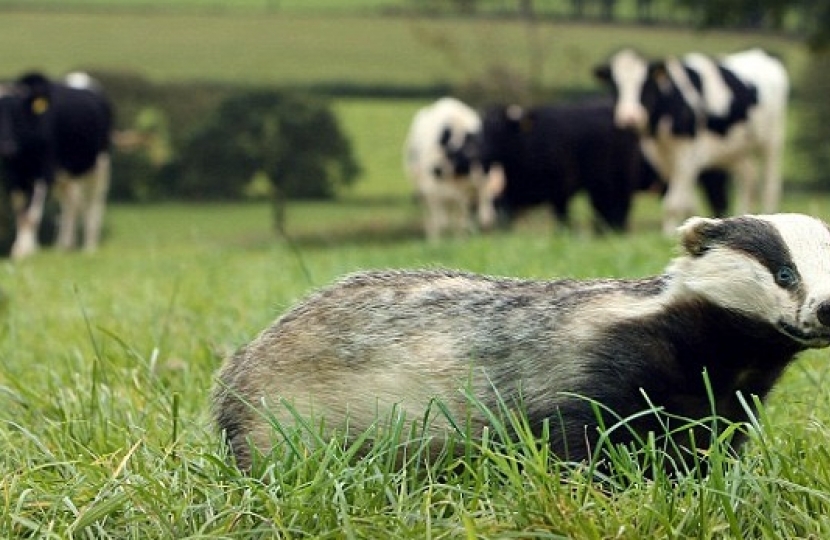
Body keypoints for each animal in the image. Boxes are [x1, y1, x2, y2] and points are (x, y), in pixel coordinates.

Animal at [0, 70, 113, 260]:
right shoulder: (12, 176)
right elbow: (21, 213)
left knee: (93, 202)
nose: (7, 146)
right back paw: (64, 246)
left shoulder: (44, 172)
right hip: (65, 176)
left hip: (99, 166)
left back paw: (89, 247)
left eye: (17, 114)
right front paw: (22, 249)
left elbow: (32, 214)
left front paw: (26, 251)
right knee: (71, 203)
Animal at [404, 96, 500, 240]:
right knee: (432, 217)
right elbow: (440, 221)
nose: (474, 155)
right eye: (453, 149)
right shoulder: (432, 190)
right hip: (423, 192)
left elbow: (463, 218)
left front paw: (460, 239)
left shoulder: (469, 190)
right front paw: (438, 241)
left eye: (476, 142)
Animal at [478, 99, 648, 232]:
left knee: (621, 205)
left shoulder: (561, 187)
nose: (478, 153)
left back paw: (618, 230)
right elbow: (505, 219)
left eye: (499, 130)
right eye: (482, 130)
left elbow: (562, 216)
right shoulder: (509, 195)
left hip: (623, 177)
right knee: (602, 207)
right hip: (599, 183)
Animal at [596, 47, 788, 232]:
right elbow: (686, 202)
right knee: (748, 178)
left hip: (771, 141)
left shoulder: (688, 156)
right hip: (735, 151)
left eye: (646, 85)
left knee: (770, 184)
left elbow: (673, 203)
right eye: (615, 87)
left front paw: (668, 233)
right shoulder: (661, 157)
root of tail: (762, 54)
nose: (629, 117)